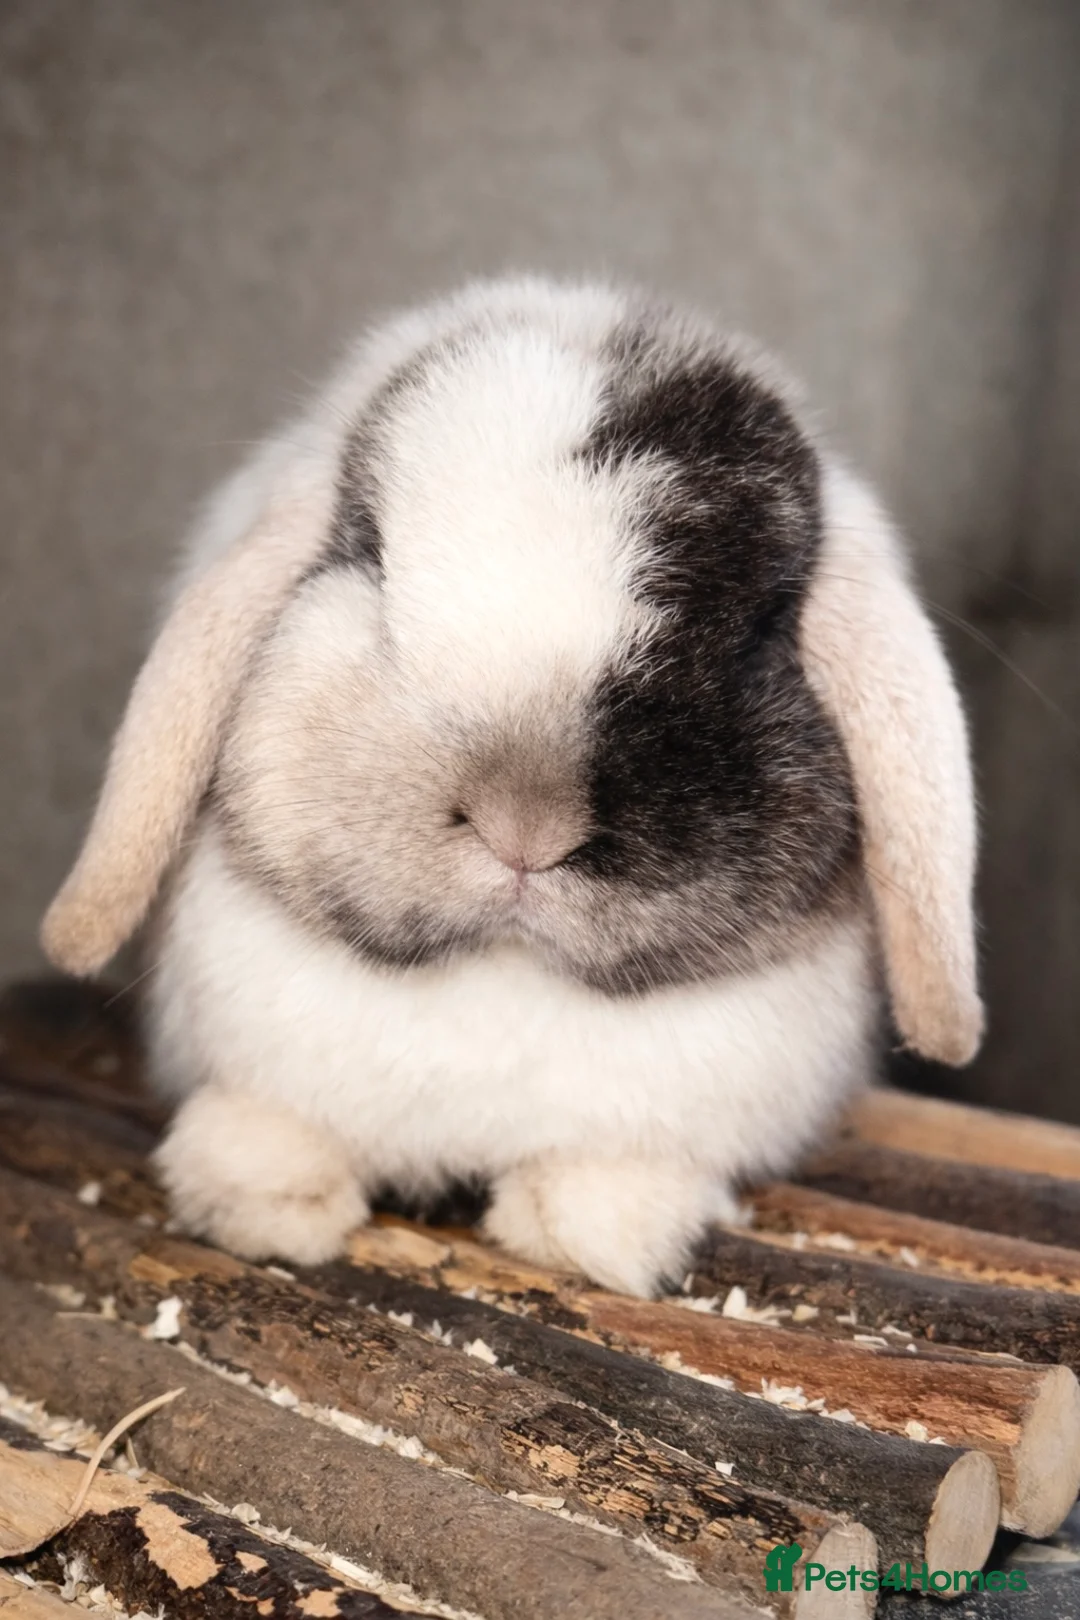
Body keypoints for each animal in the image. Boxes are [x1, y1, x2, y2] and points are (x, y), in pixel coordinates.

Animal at [41, 277, 982, 1297]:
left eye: (762, 625)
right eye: (371, 558)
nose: (524, 825)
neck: (504, 972)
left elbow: (612, 1177)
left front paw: (590, 1237)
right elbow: (281, 1127)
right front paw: (259, 1207)